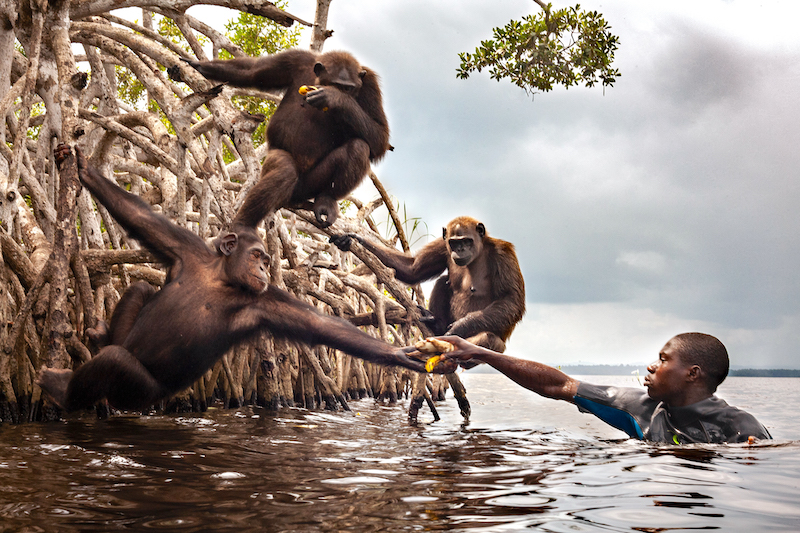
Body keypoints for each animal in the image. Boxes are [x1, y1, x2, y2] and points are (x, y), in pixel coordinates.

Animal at [37, 144, 434, 412]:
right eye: (257, 255)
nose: (262, 269)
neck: (220, 279)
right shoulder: (187, 250)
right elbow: (139, 217)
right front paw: (85, 170)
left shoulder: (265, 301)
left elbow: (323, 326)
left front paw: (400, 355)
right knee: (136, 288)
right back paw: (100, 338)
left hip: (139, 395)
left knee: (115, 362)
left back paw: (61, 388)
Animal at [174, 50, 388, 231]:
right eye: (337, 85)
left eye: (348, 89)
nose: (341, 93)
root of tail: (294, 197)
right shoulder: (294, 59)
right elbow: (253, 72)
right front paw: (196, 65)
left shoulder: (370, 85)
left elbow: (380, 137)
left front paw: (335, 98)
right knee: (283, 172)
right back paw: (242, 227)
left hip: (310, 186)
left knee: (359, 147)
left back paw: (326, 201)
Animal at [332, 215, 524, 358]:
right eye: (454, 243)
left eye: (467, 241)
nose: (460, 250)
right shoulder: (442, 245)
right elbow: (413, 269)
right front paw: (356, 239)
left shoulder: (503, 254)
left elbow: (511, 300)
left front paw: (461, 326)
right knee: (443, 281)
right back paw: (437, 324)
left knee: (489, 339)